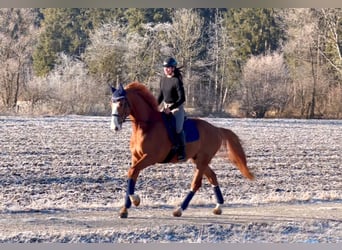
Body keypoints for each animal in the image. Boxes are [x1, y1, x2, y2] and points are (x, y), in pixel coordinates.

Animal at [110, 82, 254, 219]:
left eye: (121, 103)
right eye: (112, 103)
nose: (114, 127)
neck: (146, 126)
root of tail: (216, 129)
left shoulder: (150, 157)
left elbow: (132, 171)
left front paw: (135, 200)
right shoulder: (135, 157)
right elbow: (132, 175)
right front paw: (124, 209)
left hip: (202, 160)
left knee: (196, 184)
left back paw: (179, 210)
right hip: (198, 160)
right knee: (212, 177)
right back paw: (218, 207)